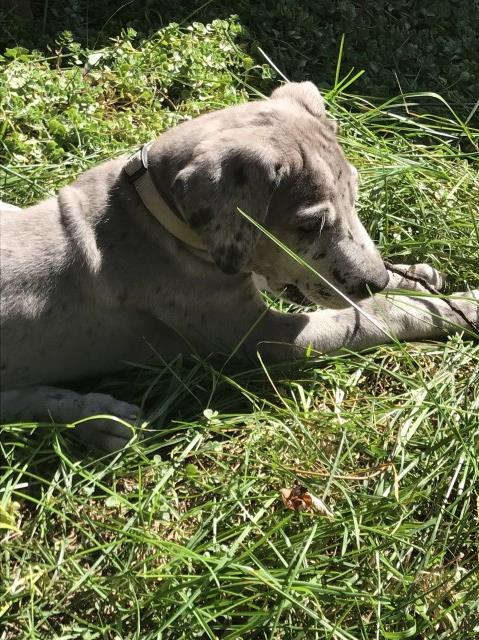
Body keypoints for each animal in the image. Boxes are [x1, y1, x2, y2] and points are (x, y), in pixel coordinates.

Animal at [1, 81, 478, 450]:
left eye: (355, 196)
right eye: (310, 225)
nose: (374, 280)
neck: (148, 214)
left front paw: (417, 277)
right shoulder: (261, 337)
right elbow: (372, 316)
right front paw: (460, 308)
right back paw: (99, 419)